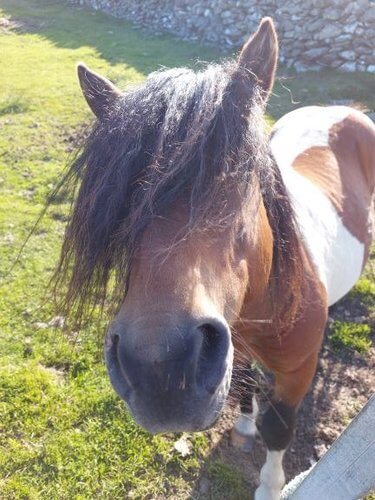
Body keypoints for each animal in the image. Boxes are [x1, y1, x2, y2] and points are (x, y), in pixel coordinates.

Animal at [53, 17, 375, 498]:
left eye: (244, 177)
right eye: (122, 198)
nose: (160, 371)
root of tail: (340, 110)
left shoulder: (296, 371)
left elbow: (278, 427)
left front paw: (270, 486)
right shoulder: (234, 348)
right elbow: (244, 389)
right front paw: (243, 426)